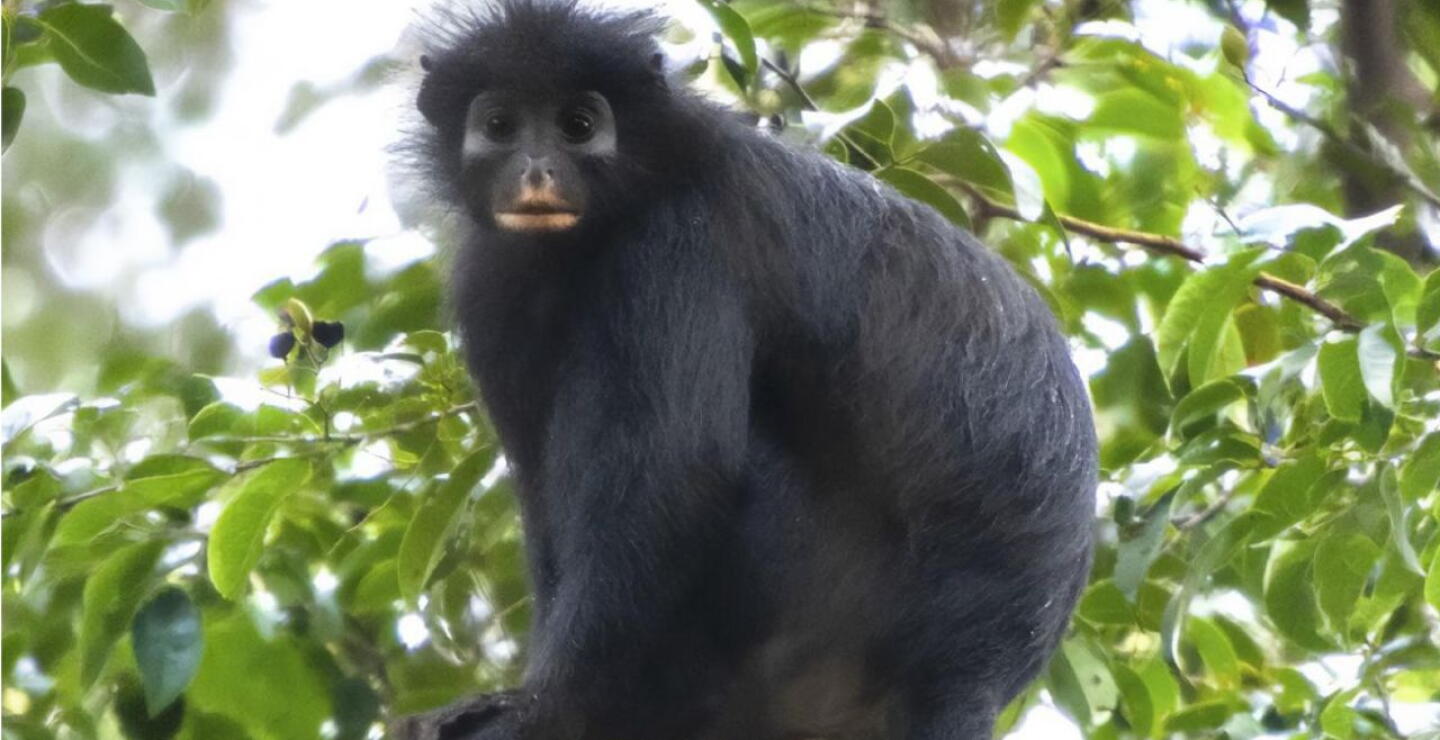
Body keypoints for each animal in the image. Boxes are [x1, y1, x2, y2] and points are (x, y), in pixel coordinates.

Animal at [395, 1, 1097, 738]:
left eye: (578, 127)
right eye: (500, 126)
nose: (536, 171)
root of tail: (974, 675)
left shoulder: (676, 240)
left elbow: (675, 475)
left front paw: (544, 704)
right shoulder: (491, 284)